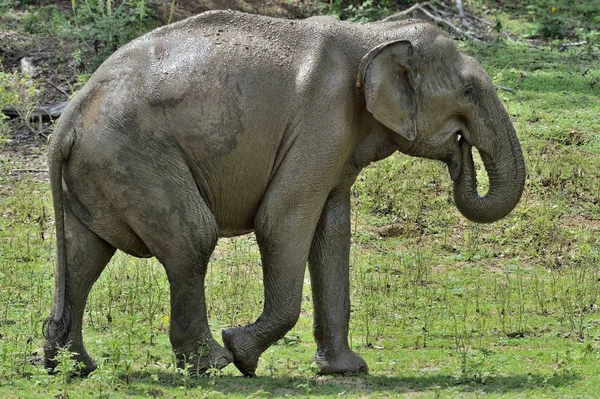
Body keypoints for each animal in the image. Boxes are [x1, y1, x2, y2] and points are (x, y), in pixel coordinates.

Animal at [44, 10, 524, 378]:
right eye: (467, 91)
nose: (459, 154)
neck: (372, 35)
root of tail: (66, 121)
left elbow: (332, 230)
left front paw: (346, 370)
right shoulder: (323, 121)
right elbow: (282, 219)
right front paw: (240, 352)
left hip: (101, 169)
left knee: (85, 254)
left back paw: (71, 367)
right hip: (136, 156)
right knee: (193, 239)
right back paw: (212, 363)